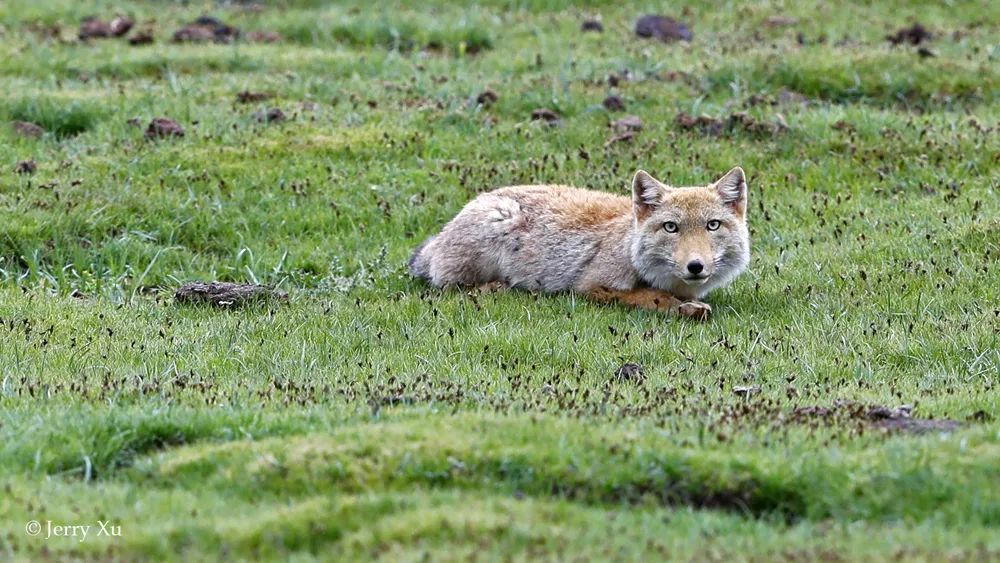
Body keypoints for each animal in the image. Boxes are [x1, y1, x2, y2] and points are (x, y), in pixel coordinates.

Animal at [408, 166, 752, 322]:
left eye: (712, 225)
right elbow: (648, 296)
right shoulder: (591, 286)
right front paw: (682, 307)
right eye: (671, 227)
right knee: (451, 287)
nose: (696, 266)